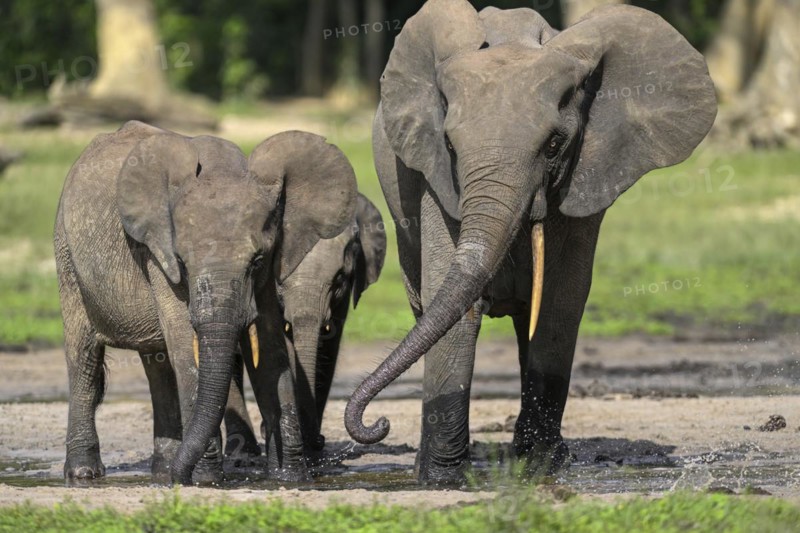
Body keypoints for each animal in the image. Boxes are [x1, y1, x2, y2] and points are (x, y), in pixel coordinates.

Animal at [54, 121, 357, 485]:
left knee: (156, 362)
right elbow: (187, 344)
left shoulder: (272, 262)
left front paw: (291, 477)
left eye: (257, 260)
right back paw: (84, 474)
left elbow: (271, 346)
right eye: (182, 262)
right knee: (83, 357)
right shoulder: (157, 254)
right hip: (66, 254)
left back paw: (164, 468)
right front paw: (206, 480)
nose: (321, 443)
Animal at [344, 0, 717, 485]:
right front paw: (442, 479)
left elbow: (560, 303)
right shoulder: (436, 182)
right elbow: (454, 308)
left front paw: (539, 468)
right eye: (450, 145)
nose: (378, 423)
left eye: (555, 144)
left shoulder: (585, 176)